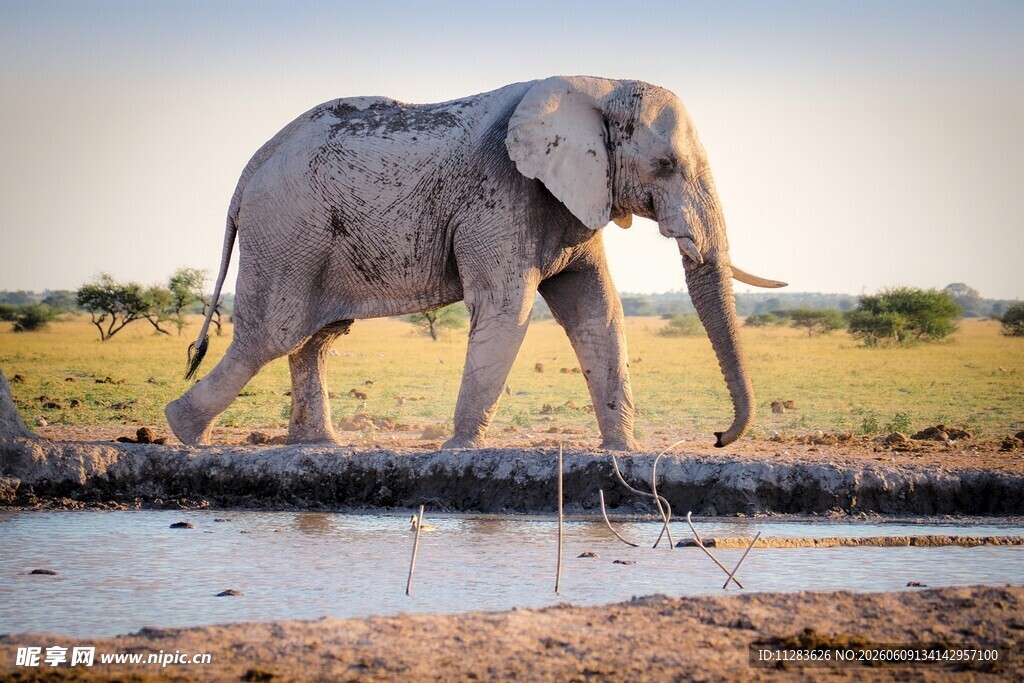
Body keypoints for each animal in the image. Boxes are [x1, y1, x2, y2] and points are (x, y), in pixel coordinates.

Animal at [165, 75, 786, 451]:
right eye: (665, 165)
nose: (717, 439)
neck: (598, 84)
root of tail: (248, 170)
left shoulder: (568, 199)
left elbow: (598, 311)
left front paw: (622, 452)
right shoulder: (502, 193)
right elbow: (507, 309)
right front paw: (459, 449)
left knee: (315, 337)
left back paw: (318, 446)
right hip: (288, 230)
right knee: (272, 334)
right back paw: (184, 431)